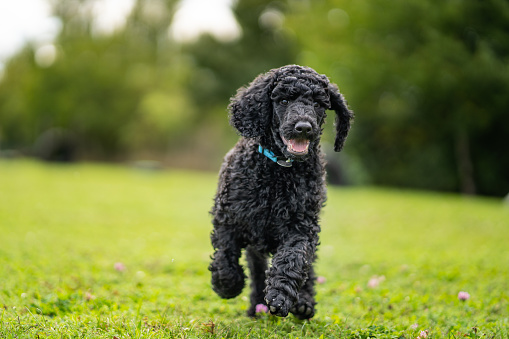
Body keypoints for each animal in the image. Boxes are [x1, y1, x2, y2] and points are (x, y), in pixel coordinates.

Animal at [208, 65, 352, 320]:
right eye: (284, 100)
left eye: (318, 104)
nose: (303, 127)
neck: (278, 171)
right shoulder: (228, 218)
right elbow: (225, 253)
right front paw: (228, 285)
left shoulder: (301, 225)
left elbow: (293, 259)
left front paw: (280, 296)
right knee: (257, 271)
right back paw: (256, 306)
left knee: (307, 269)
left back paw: (303, 304)